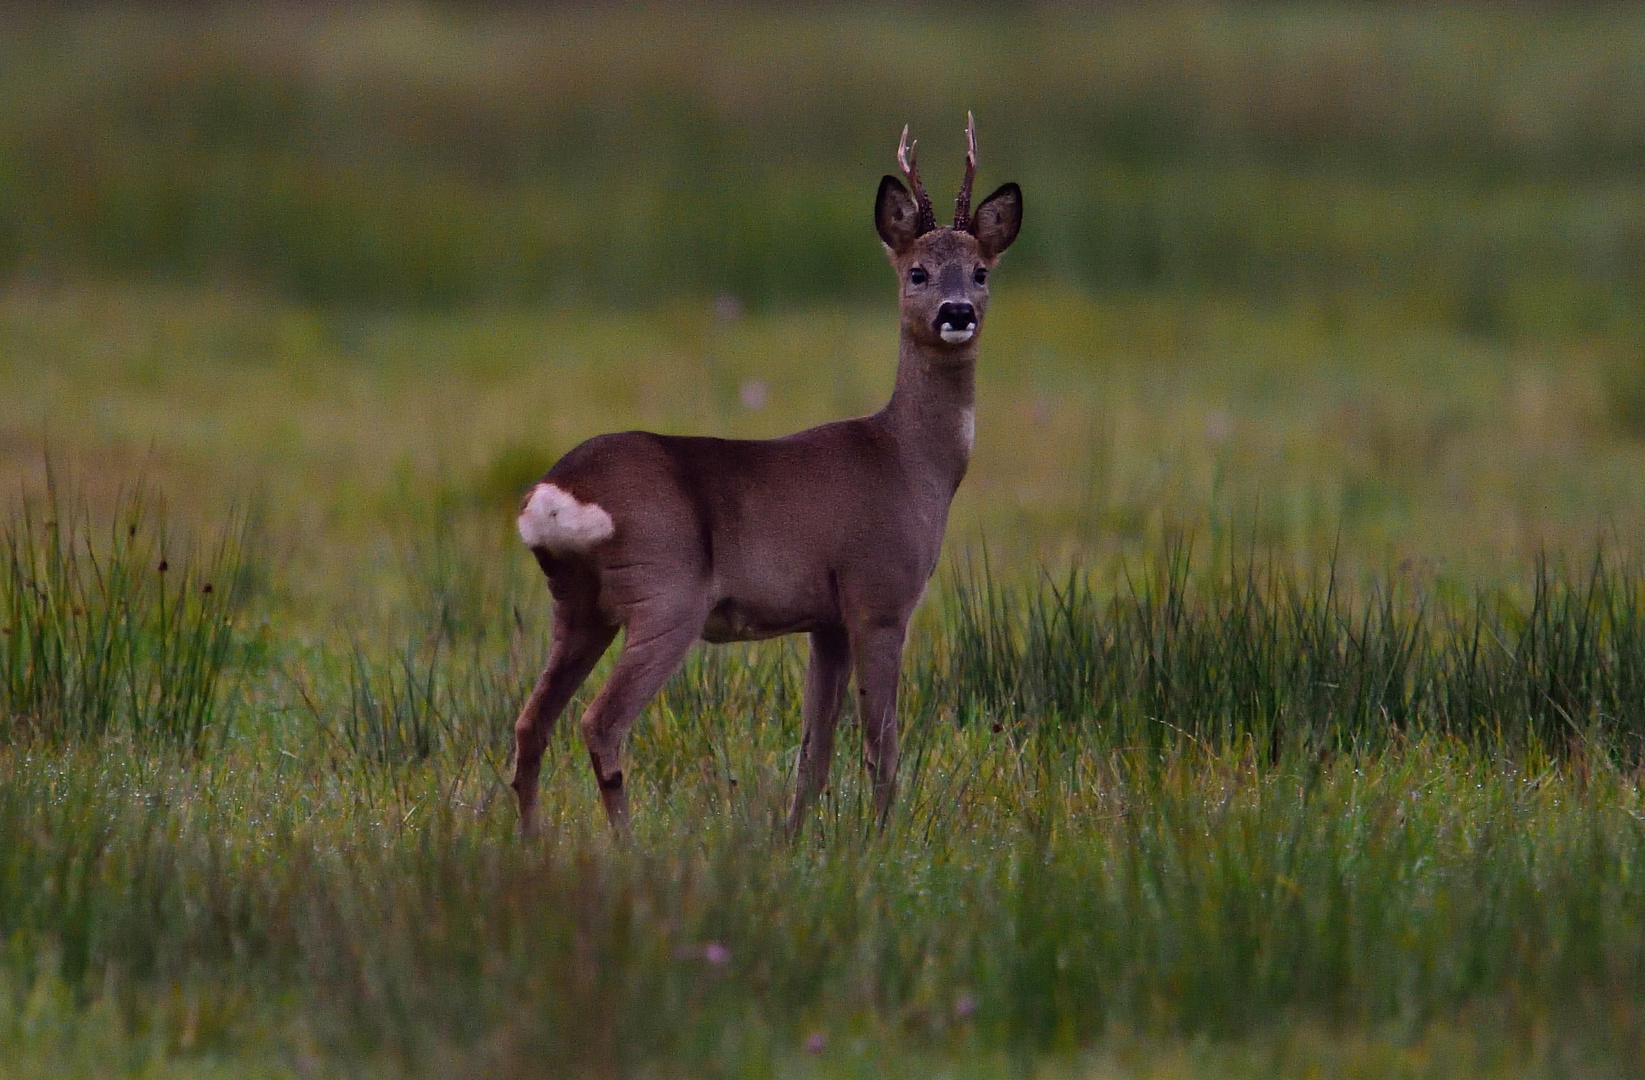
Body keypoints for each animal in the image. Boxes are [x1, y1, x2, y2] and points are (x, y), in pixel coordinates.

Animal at [513, 111, 1019, 835]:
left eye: (980, 271)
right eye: (917, 272)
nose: (957, 314)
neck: (910, 461)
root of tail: (557, 493)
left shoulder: (826, 620)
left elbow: (816, 746)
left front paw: (796, 836)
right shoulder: (879, 594)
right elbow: (881, 740)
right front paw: (881, 836)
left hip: (577, 605)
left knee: (531, 724)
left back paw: (531, 844)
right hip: (665, 592)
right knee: (599, 723)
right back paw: (627, 844)